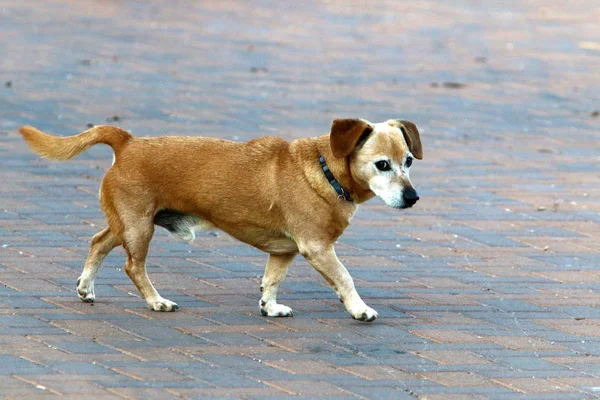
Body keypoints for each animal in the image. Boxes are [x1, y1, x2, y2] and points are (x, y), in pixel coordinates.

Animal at [18, 119, 422, 322]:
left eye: (408, 162)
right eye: (382, 165)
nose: (413, 197)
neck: (325, 170)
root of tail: (127, 142)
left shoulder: (284, 252)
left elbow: (271, 280)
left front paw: (270, 307)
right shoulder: (318, 248)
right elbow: (345, 278)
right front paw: (359, 309)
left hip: (125, 224)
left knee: (98, 242)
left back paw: (86, 287)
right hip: (138, 227)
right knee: (133, 266)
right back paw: (156, 301)